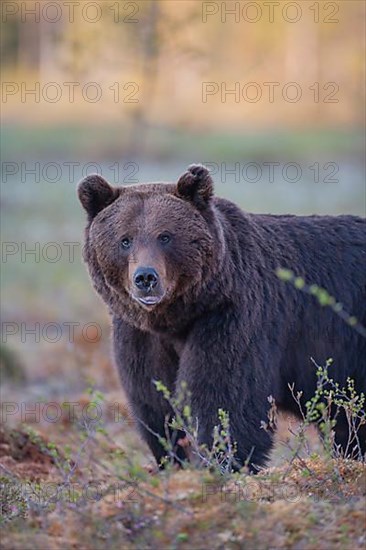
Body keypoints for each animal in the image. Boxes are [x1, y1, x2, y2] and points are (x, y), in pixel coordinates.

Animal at [78, 166, 366, 472]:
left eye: (165, 236)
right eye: (125, 239)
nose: (145, 278)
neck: (177, 319)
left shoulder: (232, 316)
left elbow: (224, 397)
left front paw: (221, 463)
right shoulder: (141, 337)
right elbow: (155, 403)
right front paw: (174, 460)